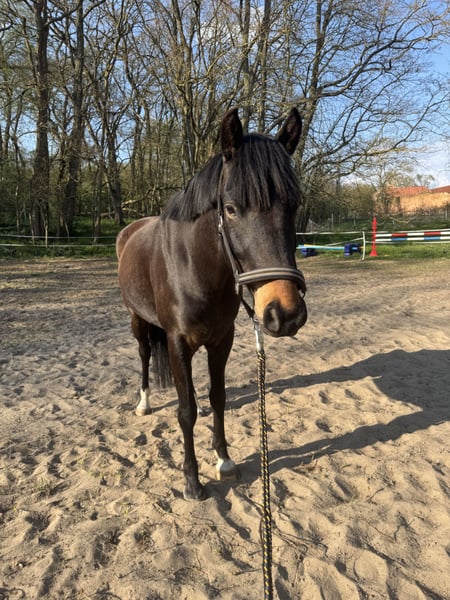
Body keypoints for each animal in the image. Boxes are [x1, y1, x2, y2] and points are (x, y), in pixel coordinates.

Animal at [116, 107, 307, 500]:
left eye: (294, 206)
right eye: (231, 209)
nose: (286, 313)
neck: (195, 266)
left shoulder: (221, 340)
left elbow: (217, 396)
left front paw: (224, 459)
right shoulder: (177, 342)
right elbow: (185, 411)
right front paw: (192, 480)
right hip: (138, 321)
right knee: (144, 356)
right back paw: (143, 403)